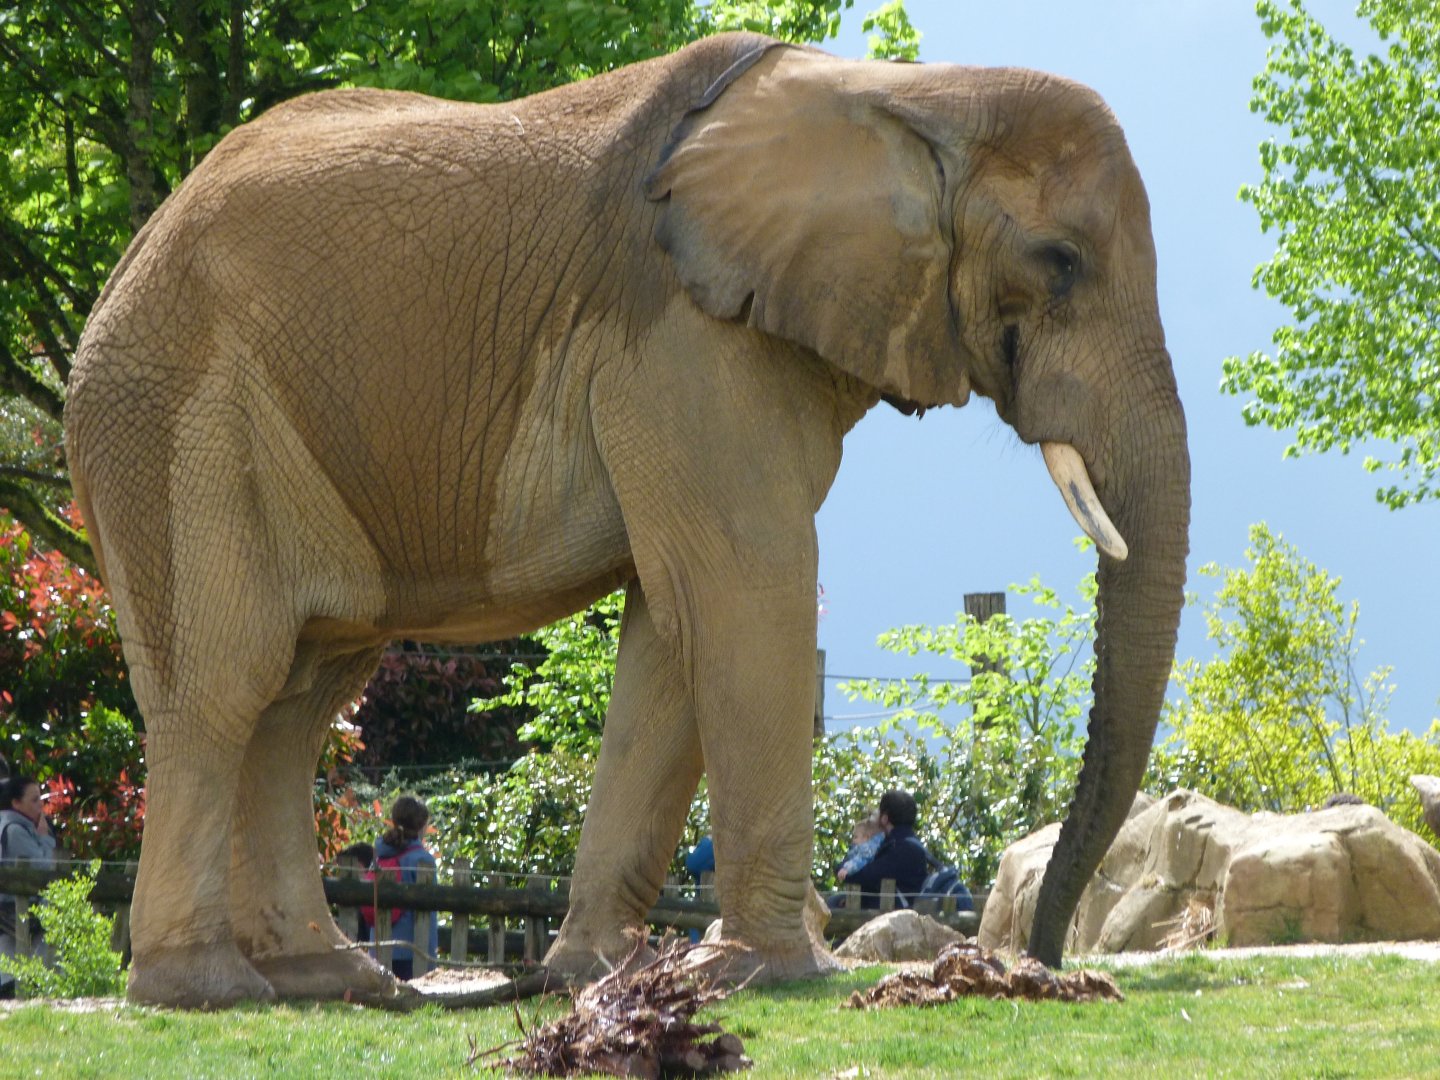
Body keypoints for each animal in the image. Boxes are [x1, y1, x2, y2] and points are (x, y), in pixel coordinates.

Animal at [65, 32, 1189, 1007]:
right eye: (1059, 260)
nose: (1039, 964)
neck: (912, 94)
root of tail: (126, 262)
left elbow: (672, 631)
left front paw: (595, 975)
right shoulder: (684, 336)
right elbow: (747, 587)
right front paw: (786, 974)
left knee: (300, 701)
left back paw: (328, 982)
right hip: (177, 421)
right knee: (224, 685)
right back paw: (205, 991)